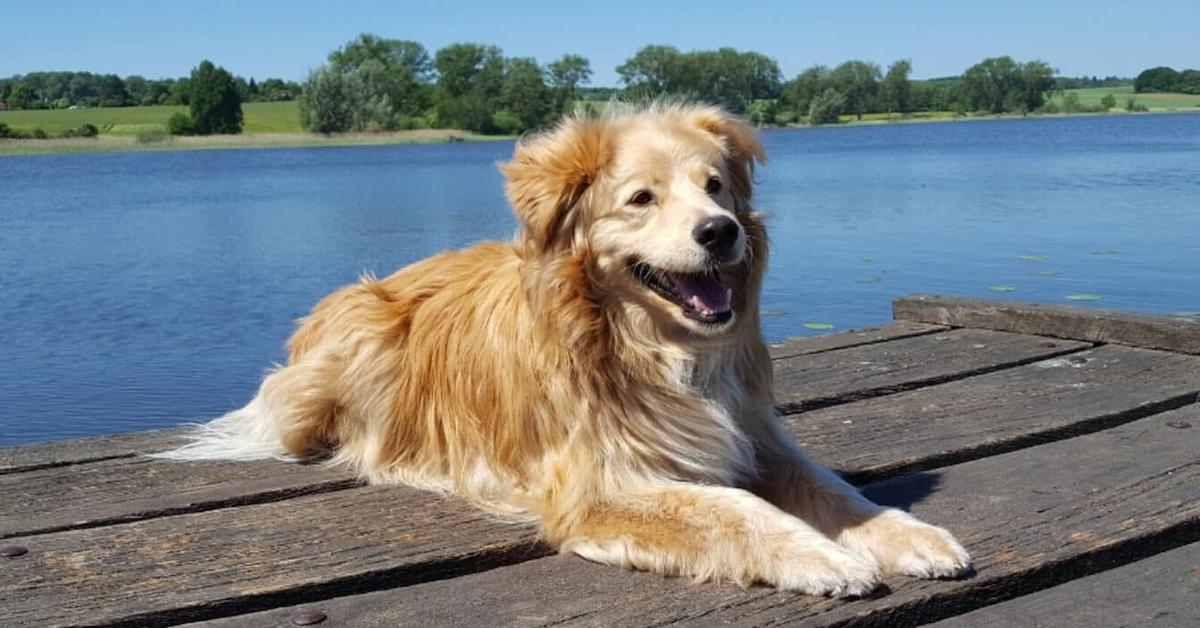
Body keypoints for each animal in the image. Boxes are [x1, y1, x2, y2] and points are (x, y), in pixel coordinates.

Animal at [162, 102, 964, 595]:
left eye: (715, 187)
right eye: (641, 199)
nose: (720, 231)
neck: (651, 348)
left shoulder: (753, 435)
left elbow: (833, 490)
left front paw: (906, 535)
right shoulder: (598, 487)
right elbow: (732, 509)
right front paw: (820, 554)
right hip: (360, 341)